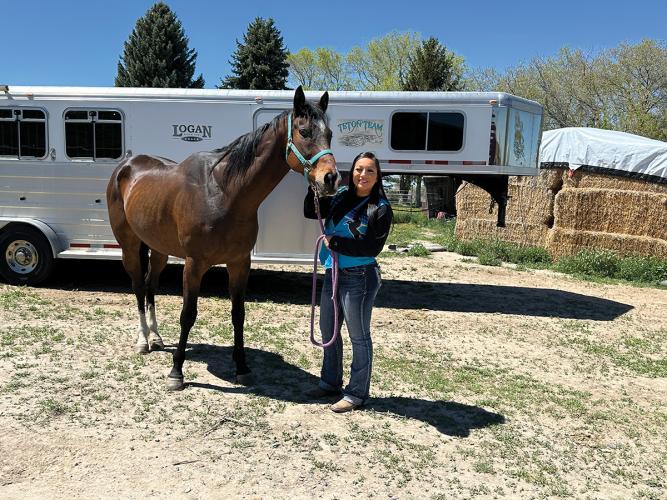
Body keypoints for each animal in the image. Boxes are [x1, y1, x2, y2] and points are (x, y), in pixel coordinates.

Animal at [106, 86, 338, 391]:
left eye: (330, 133)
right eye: (304, 131)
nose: (330, 178)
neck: (224, 193)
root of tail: (126, 167)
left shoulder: (239, 263)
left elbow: (238, 314)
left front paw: (242, 367)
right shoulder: (194, 264)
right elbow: (188, 315)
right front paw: (176, 372)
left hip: (158, 250)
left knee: (150, 285)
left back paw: (155, 337)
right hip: (130, 246)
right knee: (137, 287)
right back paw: (143, 340)